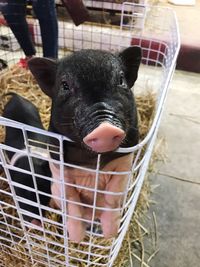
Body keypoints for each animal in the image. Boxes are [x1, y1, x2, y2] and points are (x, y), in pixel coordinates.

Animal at [28, 47, 141, 244]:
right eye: (65, 85)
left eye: (121, 80)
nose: (105, 128)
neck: (92, 162)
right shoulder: (60, 169)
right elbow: (72, 203)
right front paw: (76, 239)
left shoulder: (123, 165)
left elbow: (113, 196)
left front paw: (110, 234)